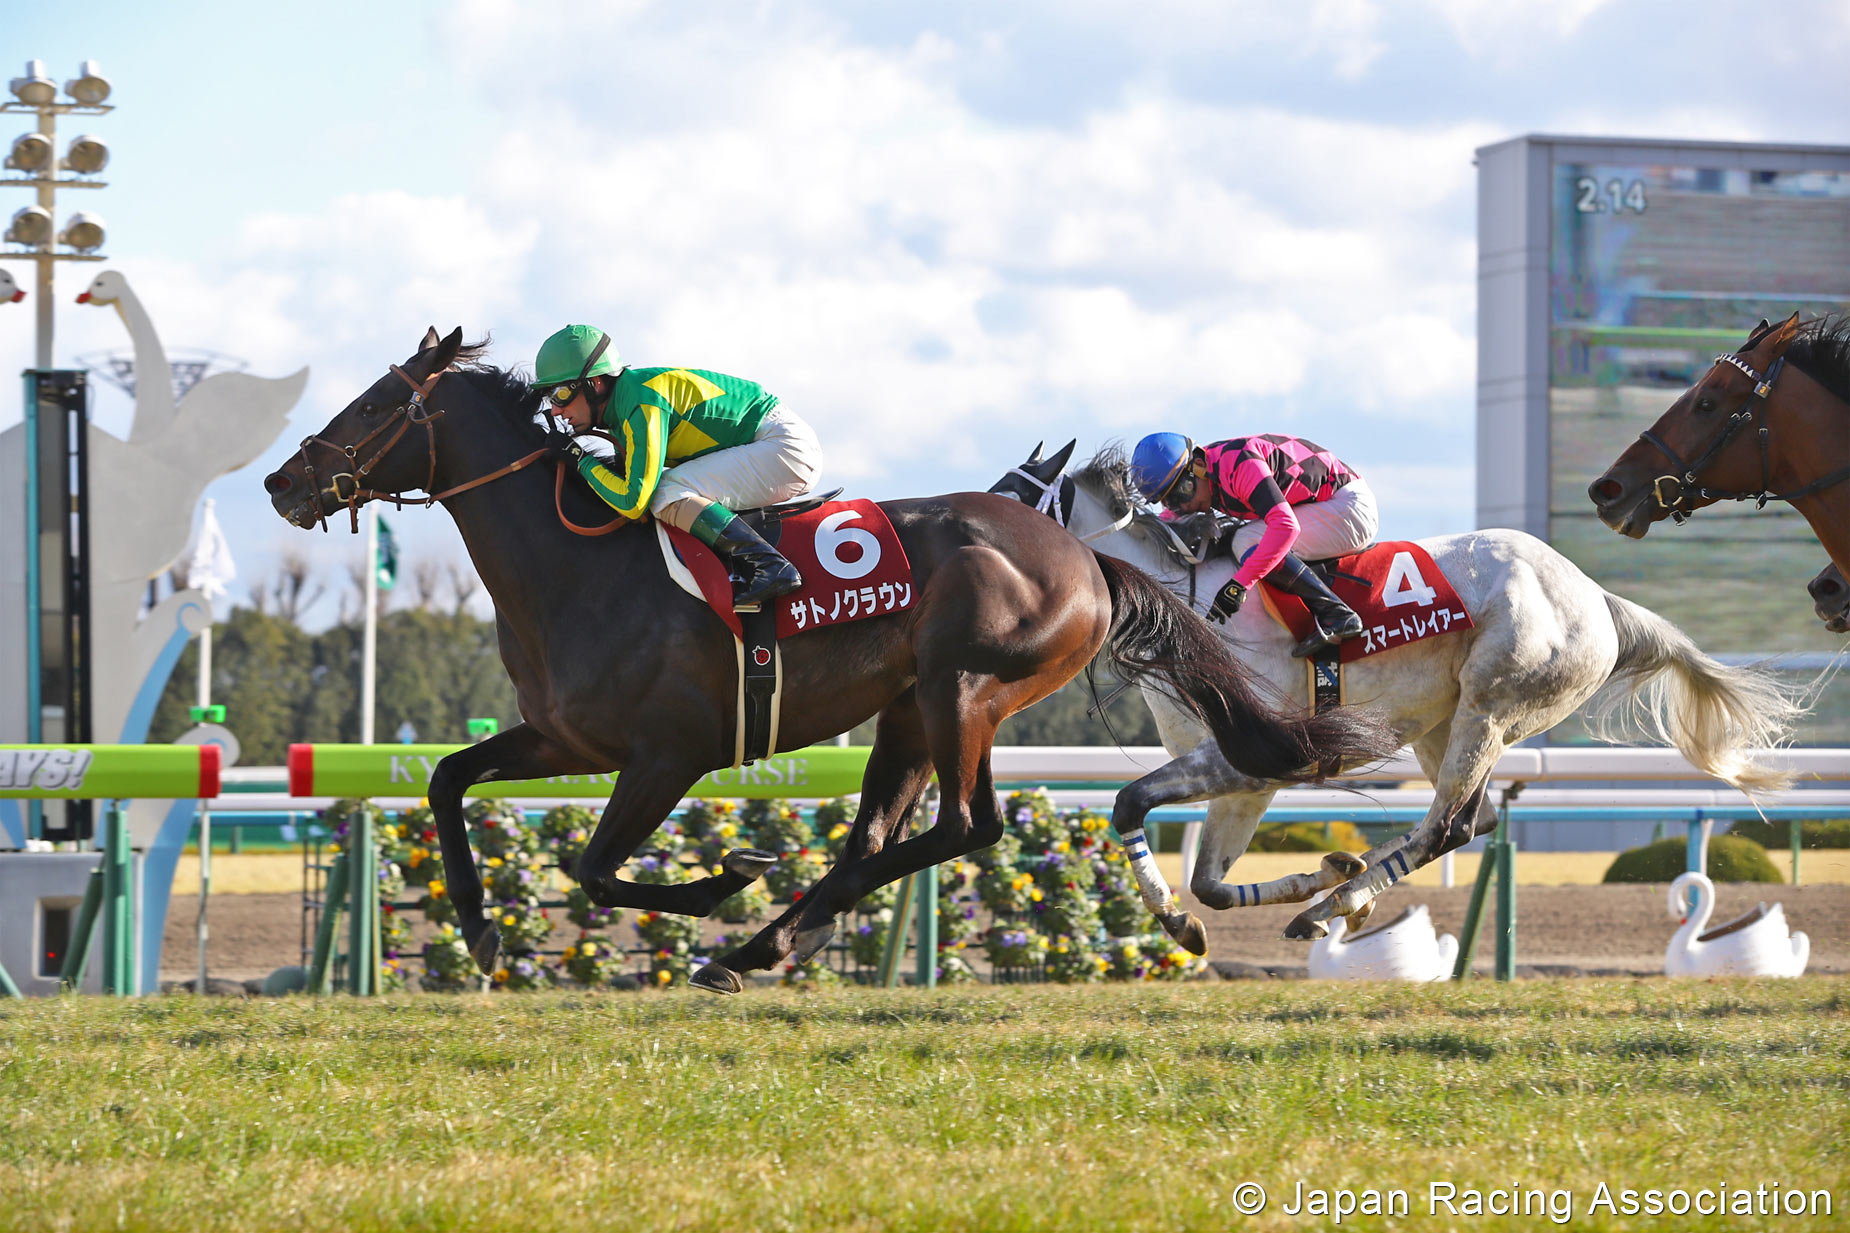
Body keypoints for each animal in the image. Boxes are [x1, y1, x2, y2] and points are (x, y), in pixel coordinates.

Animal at [991, 442, 1798, 940]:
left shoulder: (1251, 754)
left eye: (1004, 500)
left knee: (1445, 826)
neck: (1185, 603)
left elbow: (1132, 807)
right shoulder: (1246, 777)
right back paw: (1338, 894)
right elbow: (1211, 883)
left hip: (1491, 705)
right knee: (1469, 822)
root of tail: (1595, 596)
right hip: (1444, 722)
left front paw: (1177, 921)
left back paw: (1335, 907)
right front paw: (1321, 868)